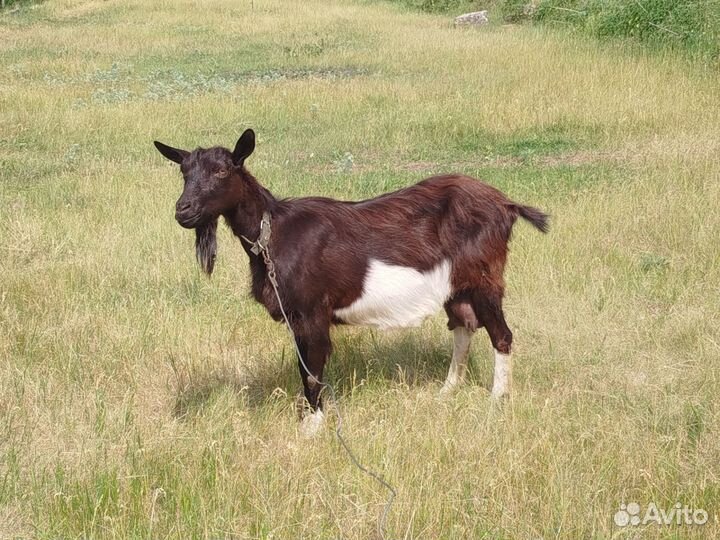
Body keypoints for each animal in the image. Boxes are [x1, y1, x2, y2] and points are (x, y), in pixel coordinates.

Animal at [154, 129, 548, 434]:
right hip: (457, 286)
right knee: (464, 324)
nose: (183, 211)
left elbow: (312, 369)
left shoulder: (311, 312)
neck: (273, 232)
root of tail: (507, 205)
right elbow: (304, 366)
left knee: (501, 334)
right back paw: (446, 391)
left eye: (222, 171)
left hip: (485, 278)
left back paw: (497, 399)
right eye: (183, 172)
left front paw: (311, 428)